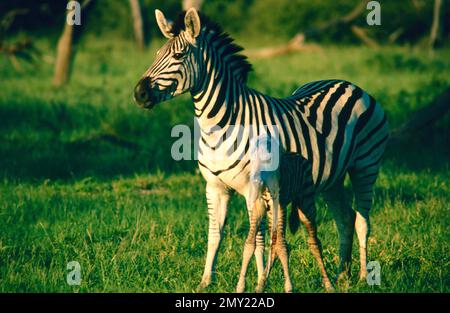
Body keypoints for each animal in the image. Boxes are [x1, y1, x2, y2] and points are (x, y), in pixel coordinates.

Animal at [134, 8, 390, 292]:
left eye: (178, 56)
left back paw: (363, 278)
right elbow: (215, 235)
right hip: (331, 179)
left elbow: (256, 239)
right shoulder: (215, 187)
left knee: (362, 221)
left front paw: (256, 282)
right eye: (156, 54)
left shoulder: (252, 188)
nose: (139, 93)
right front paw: (206, 281)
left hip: (365, 166)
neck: (219, 124)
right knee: (345, 218)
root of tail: (348, 84)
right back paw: (342, 276)